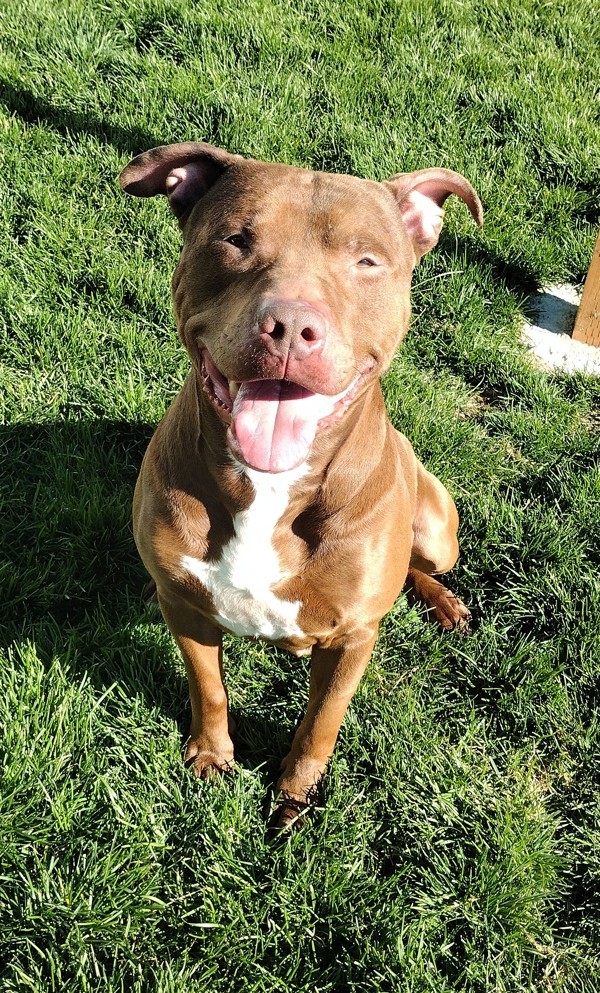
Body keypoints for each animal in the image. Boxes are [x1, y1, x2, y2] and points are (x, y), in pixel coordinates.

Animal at [119, 143, 480, 828]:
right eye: (236, 239)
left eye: (366, 260)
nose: (289, 326)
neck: (269, 489)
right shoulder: (185, 609)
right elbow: (208, 689)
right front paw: (212, 755)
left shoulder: (351, 639)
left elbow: (321, 722)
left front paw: (295, 793)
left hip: (436, 527)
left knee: (420, 564)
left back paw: (444, 602)